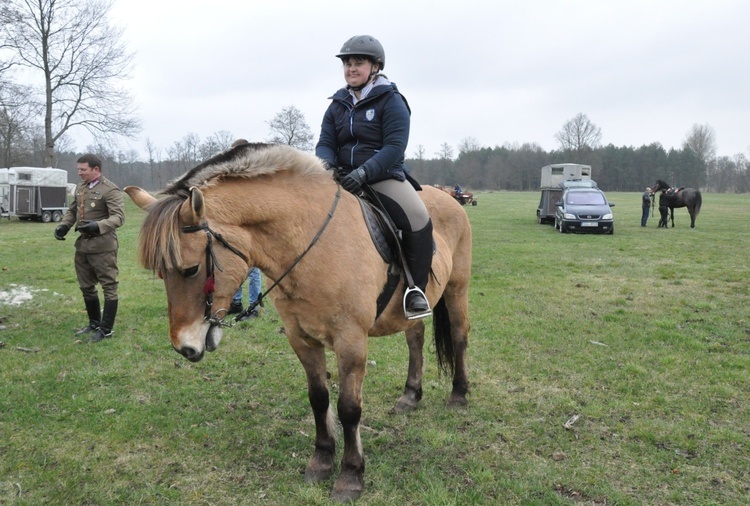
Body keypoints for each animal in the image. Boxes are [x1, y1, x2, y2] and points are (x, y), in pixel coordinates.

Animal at [125, 142, 472, 502]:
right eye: (161, 272)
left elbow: (349, 408)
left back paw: (459, 394)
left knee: (459, 335)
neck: (311, 244)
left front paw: (350, 475)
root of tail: (448, 199)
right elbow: (318, 399)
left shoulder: (351, 341)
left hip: (457, 288)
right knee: (415, 339)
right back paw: (410, 396)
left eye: (191, 269)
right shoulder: (301, 338)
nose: (184, 347)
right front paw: (321, 461)